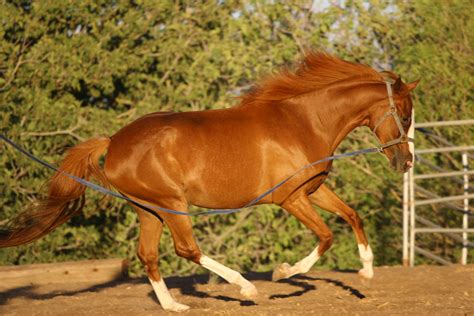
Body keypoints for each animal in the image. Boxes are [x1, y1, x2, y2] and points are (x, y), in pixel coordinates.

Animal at [0, 51, 418, 312]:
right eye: (404, 114)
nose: (406, 161)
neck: (303, 123)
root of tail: (114, 142)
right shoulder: (290, 198)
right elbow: (327, 236)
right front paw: (283, 272)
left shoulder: (313, 190)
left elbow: (352, 216)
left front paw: (366, 272)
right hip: (171, 204)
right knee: (187, 249)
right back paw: (245, 288)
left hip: (148, 209)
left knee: (148, 255)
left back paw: (174, 305)